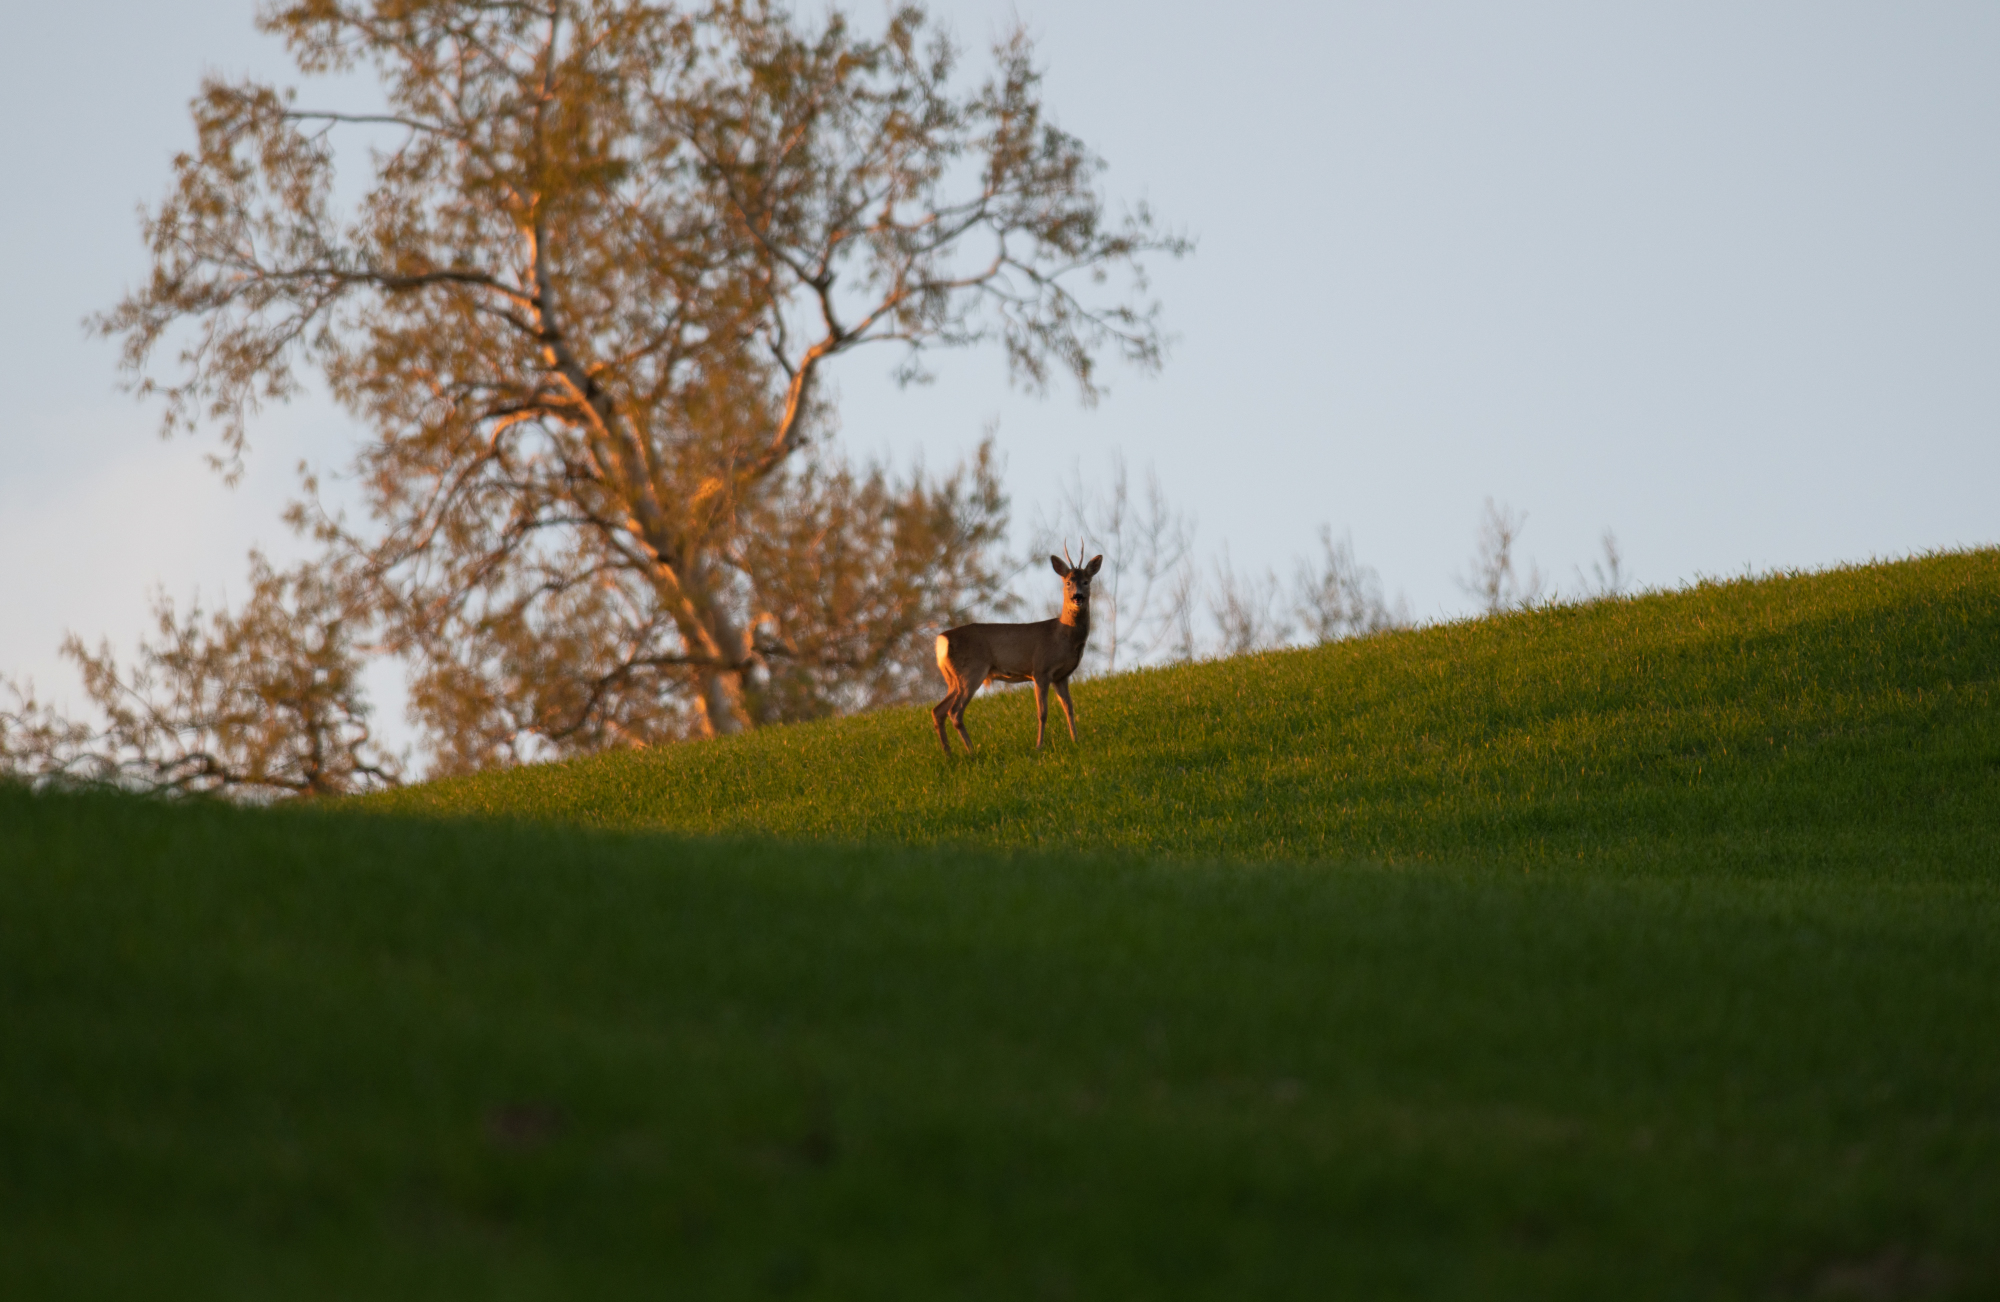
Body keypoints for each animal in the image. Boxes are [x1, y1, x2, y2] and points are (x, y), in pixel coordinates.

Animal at [932, 547, 1104, 756]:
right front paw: (1039, 746)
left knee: (938, 710)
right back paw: (972, 751)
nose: (1077, 596)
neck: (1063, 634)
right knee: (955, 711)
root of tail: (942, 640)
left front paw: (1075, 740)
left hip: (953, 679)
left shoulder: (1061, 676)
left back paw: (948, 754)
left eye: (1086, 581)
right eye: (1068, 582)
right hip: (971, 671)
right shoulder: (1041, 669)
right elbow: (1042, 712)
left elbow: (1069, 708)